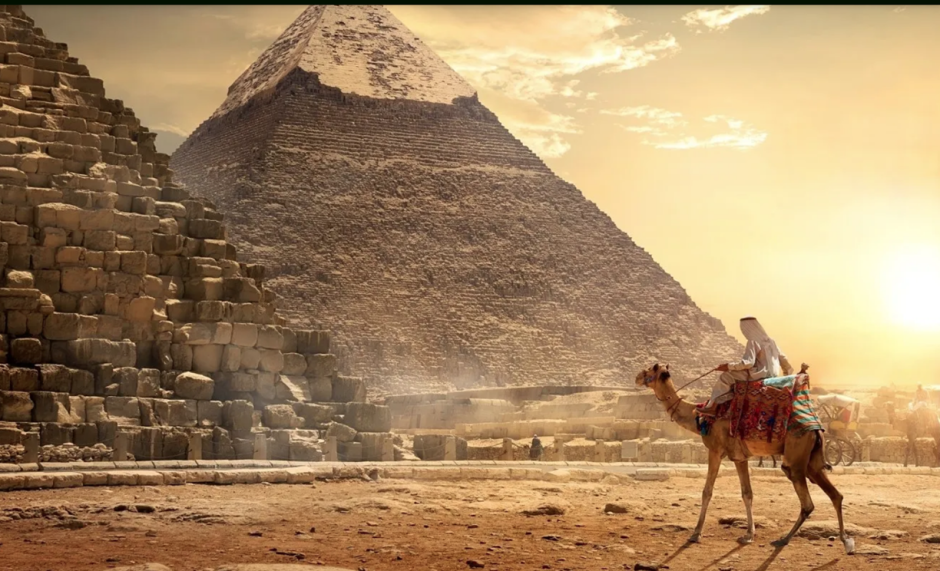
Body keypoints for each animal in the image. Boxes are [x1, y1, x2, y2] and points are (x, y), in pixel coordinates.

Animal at [636, 363, 854, 554]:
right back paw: (845, 540)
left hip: (797, 457)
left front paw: (696, 533)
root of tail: (816, 427)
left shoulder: (715, 450)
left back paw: (784, 539)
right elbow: (747, 493)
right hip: (812, 461)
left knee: (807, 501)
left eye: (650, 369)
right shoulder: (740, 457)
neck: (698, 416)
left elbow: (707, 491)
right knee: (835, 495)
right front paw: (749, 534)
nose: (637, 377)